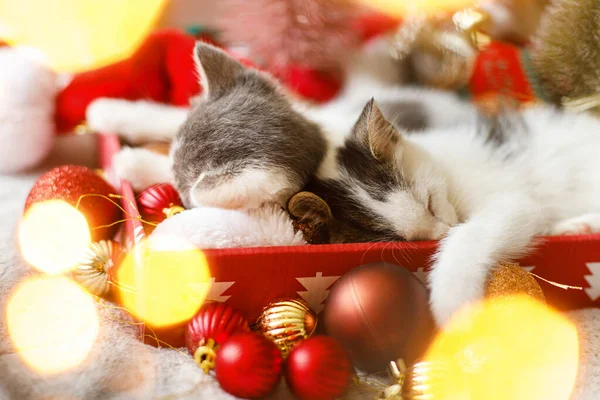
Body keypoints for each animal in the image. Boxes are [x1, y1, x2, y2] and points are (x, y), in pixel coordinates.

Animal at [290, 98, 600, 326]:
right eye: (410, 239)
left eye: (429, 201)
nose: (443, 231)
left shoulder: (514, 201)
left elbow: (472, 234)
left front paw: (452, 301)